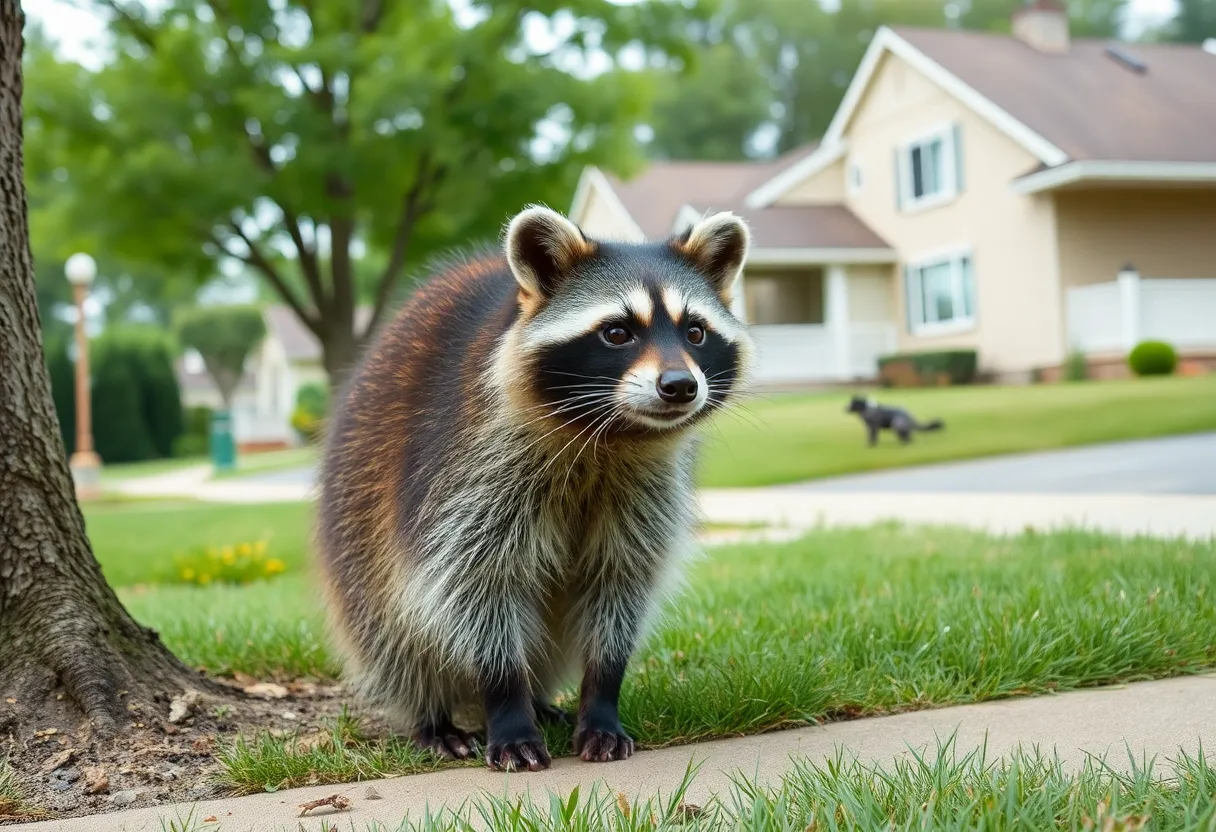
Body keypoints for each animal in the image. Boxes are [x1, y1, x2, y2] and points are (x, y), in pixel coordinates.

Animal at [317, 205, 754, 772]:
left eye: (695, 332)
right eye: (618, 332)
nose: (680, 386)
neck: (611, 436)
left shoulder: (647, 488)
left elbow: (620, 584)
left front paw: (601, 697)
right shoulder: (469, 472)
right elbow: (475, 587)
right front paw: (507, 704)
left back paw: (541, 698)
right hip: (357, 512)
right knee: (390, 629)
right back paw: (433, 714)